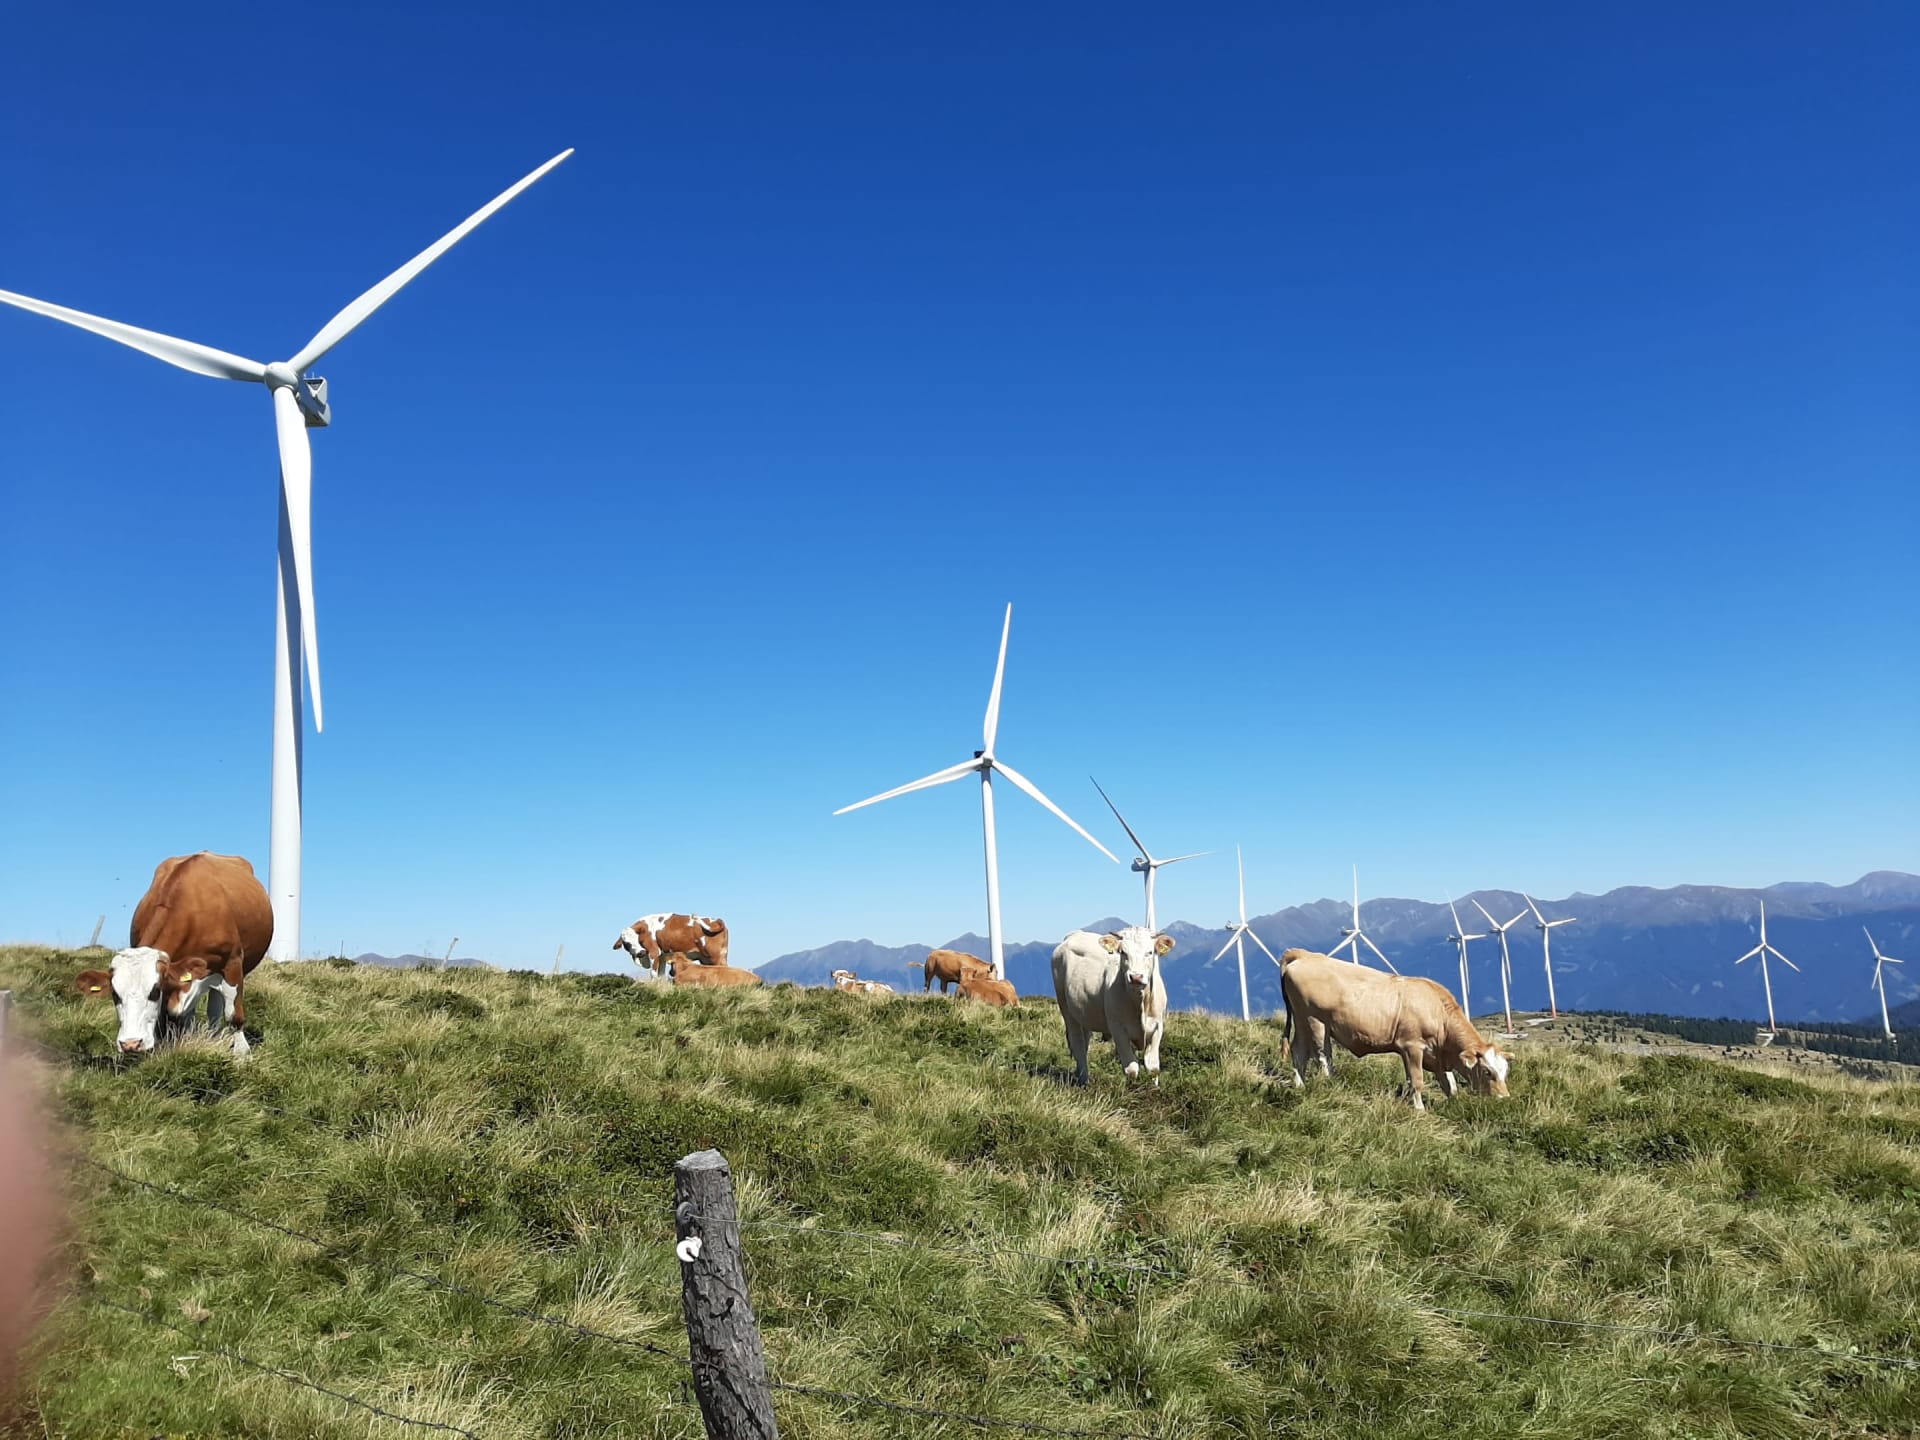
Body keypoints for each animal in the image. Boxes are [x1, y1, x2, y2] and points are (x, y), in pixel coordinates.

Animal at [74, 852, 273, 1056]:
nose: (131, 1043)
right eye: (115, 994)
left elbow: (234, 1015)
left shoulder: (232, 964)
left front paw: (241, 1053)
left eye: (155, 991)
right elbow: (169, 1018)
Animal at [1051, 927, 1176, 1085]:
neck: (1139, 1003)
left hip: (1083, 1014)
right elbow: (1131, 1069)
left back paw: (1079, 1074)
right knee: (1077, 1042)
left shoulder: (1158, 1026)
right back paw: (1085, 1080)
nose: (1136, 977)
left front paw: (1154, 1088)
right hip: (1066, 1008)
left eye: (1150, 952)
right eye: (1123, 952)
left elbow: (1153, 1067)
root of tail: (1074, 934)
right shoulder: (1118, 1028)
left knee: (1085, 1042)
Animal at [1277, 948, 1510, 1111]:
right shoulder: (1411, 1047)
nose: (1504, 1098)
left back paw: (1300, 1086)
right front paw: (1419, 1109)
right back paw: (1329, 1085)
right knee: (1322, 1056)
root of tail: (1303, 955)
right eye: (1487, 1071)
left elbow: (1449, 1084)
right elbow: (1417, 1080)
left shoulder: (1436, 1056)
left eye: (1505, 1071)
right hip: (1316, 1021)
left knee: (1299, 1052)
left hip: (1301, 1020)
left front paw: (1453, 1104)